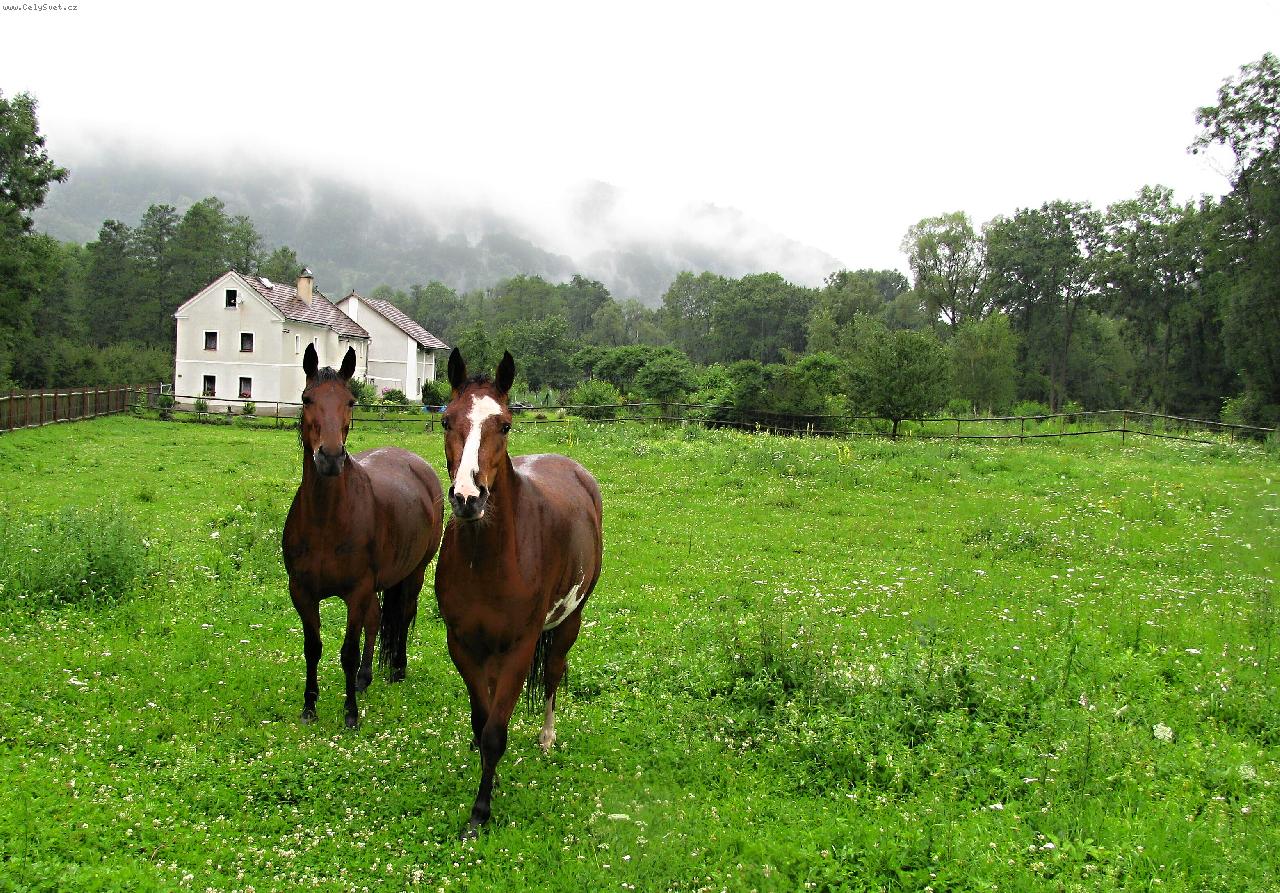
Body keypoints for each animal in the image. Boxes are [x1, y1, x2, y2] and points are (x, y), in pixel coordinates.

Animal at [282, 344, 444, 728]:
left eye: (350, 401)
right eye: (307, 398)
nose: (329, 457)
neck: (326, 522)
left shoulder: (355, 592)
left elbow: (348, 651)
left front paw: (350, 713)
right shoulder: (302, 592)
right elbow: (313, 648)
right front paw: (309, 706)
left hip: (414, 573)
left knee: (403, 614)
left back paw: (397, 669)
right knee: (376, 619)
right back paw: (365, 678)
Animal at [435, 348, 603, 839]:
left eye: (505, 424)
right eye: (447, 420)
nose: (468, 498)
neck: (490, 560)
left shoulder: (520, 646)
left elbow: (496, 731)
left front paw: (479, 813)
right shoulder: (463, 644)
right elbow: (483, 720)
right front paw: (482, 775)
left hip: (569, 622)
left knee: (553, 674)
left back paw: (547, 738)